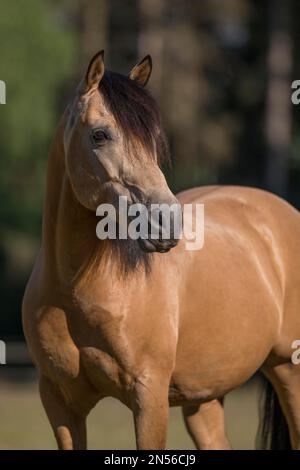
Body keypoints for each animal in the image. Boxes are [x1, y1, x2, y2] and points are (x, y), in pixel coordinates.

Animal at [22, 50, 300, 448]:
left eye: (153, 139)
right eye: (100, 134)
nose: (167, 223)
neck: (75, 288)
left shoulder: (149, 397)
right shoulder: (59, 403)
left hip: (289, 371)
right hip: (204, 399)